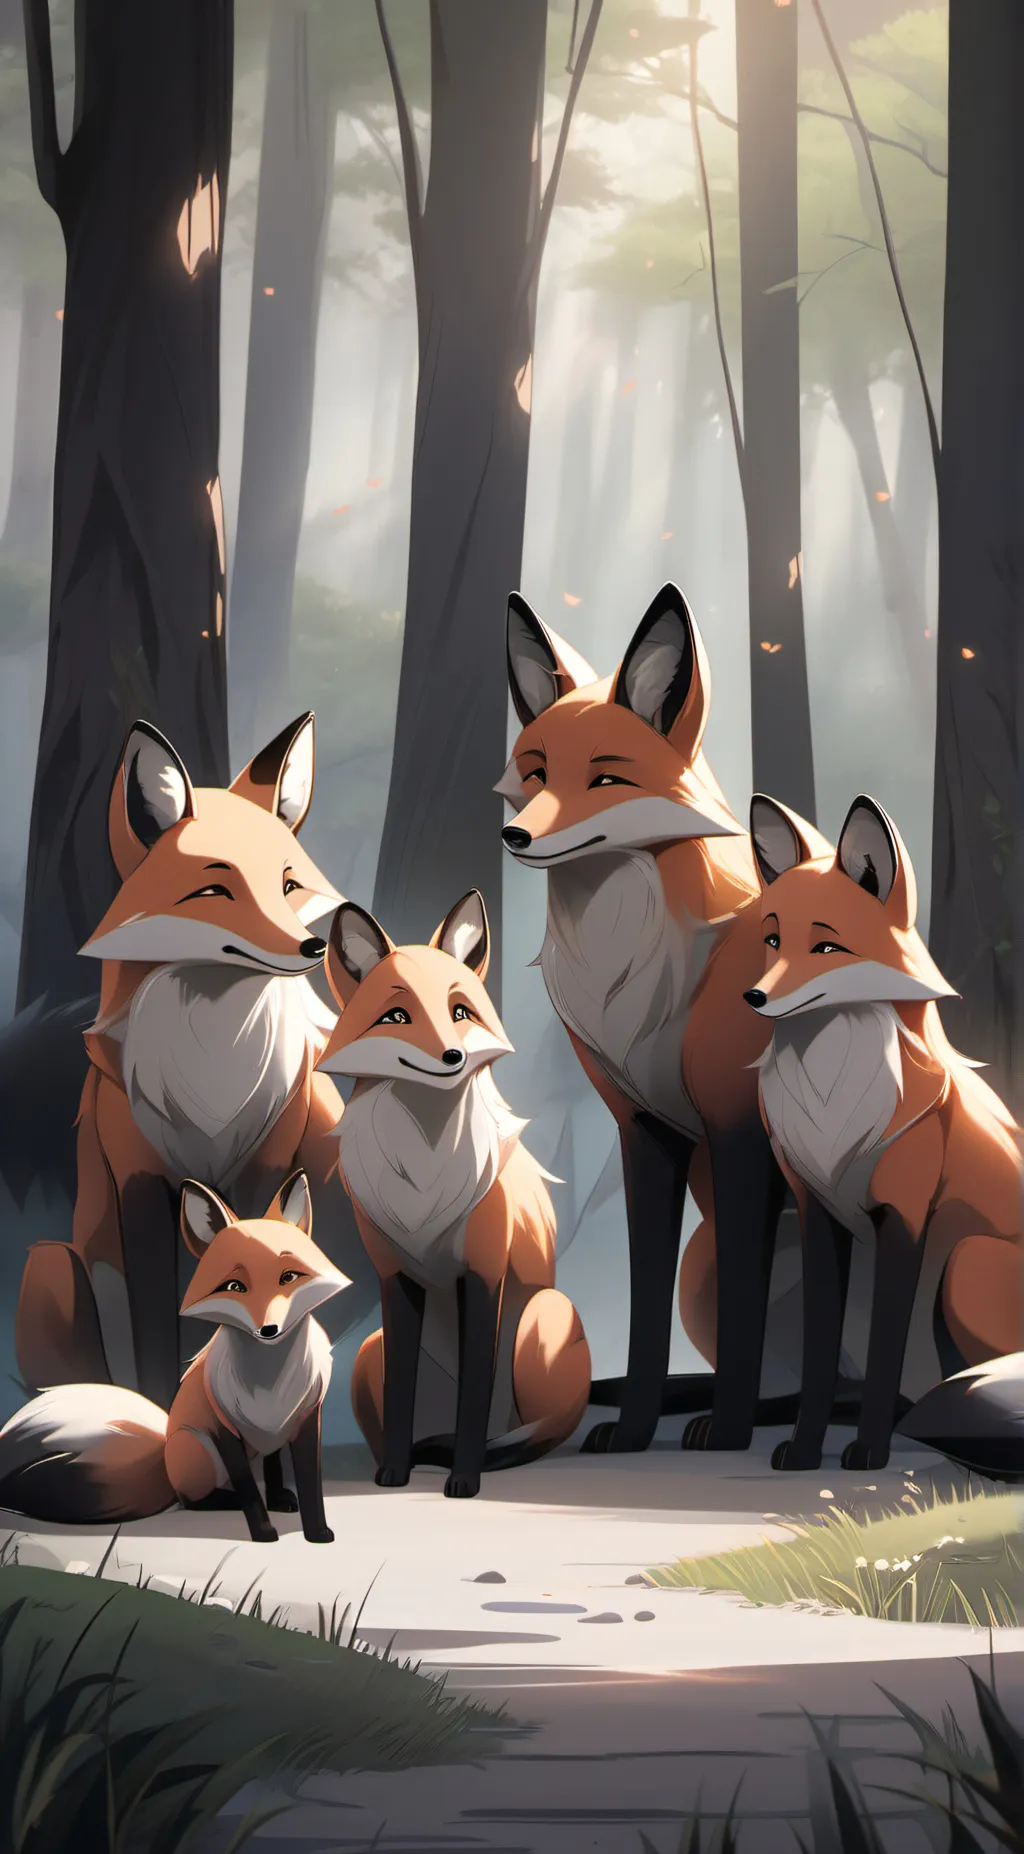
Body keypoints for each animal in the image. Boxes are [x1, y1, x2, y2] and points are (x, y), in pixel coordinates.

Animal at [0, 1172, 350, 1544]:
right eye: (235, 1287)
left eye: (288, 1277)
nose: (268, 1329)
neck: (271, 1382)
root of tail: (165, 1454)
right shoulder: (221, 1427)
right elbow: (248, 1490)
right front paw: (263, 1532)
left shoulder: (307, 1419)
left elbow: (310, 1485)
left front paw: (317, 1532)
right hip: (197, 1448)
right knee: (191, 1498)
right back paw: (224, 1500)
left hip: (265, 1444)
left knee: (267, 1471)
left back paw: (279, 1500)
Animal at [15, 713, 355, 1415]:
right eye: (215, 890)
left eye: (288, 884)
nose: (312, 947)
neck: (214, 1066)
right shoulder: (138, 1181)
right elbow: (151, 1333)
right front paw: (159, 1408)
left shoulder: (267, 1166)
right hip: (53, 1264)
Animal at [316, 889, 592, 1499]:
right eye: (397, 1017)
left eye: (460, 1013)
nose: (452, 1057)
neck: (425, 1169)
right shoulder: (395, 1276)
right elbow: (401, 1392)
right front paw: (394, 1476)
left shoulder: (484, 1272)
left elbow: (475, 1393)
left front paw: (464, 1478)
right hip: (366, 1352)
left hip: (542, 1318)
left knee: (537, 1434)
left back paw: (493, 1456)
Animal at [501, 581, 837, 1457]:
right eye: (536, 771)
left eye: (605, 778)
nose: (515, 834)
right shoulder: (645, 1131)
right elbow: (644, 1308)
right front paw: (634, 1429)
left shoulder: (737, 1131)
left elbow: (748, 1307)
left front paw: (727, 1432)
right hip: (701, 1264)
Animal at [745, 790, 1023, 1473]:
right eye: (771, 938)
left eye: (825, 949)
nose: (753, 997)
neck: (831, 1094)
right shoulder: (815, 1212)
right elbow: (821, 1348)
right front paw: (804, 1449)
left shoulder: (906, 1216)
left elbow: (884, 1348)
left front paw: (869, 1449)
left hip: (965, 1265)